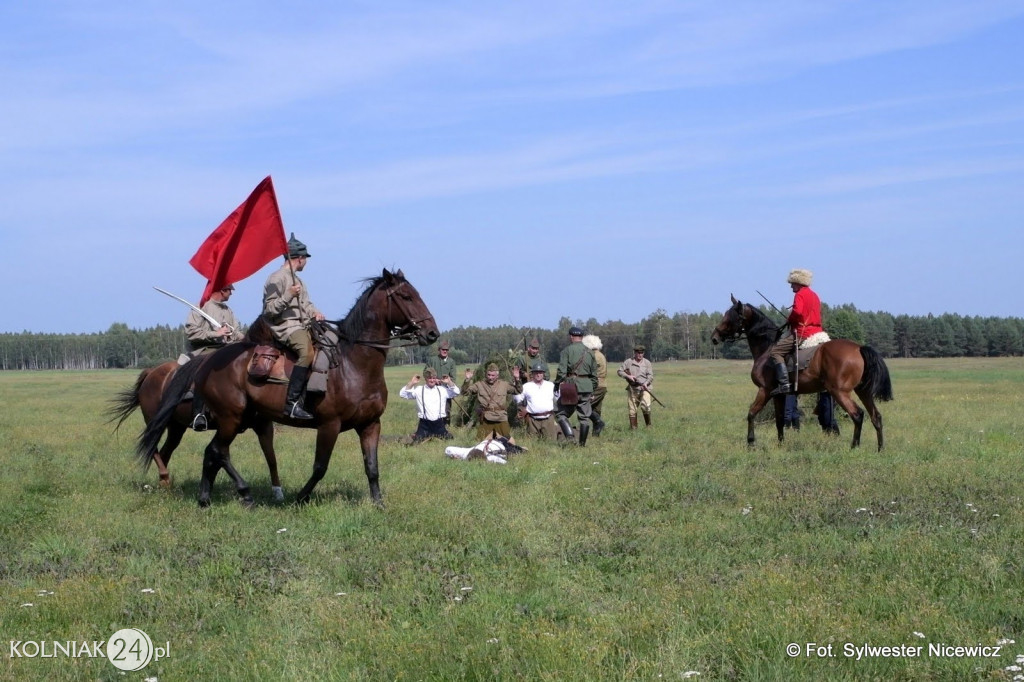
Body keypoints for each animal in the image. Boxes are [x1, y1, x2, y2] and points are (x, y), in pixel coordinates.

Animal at [109, 358, 284, 497]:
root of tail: (151, 372)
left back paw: (162, 485)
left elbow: (271, 458)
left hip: (176, 428)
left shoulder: (263, 427)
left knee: (164, 452)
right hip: (156, 422)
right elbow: (221, 456)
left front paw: (277, 492)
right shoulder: (228, 426)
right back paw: (165, 478)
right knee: (152, 448)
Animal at [135, 266, 436, 503]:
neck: (354, 364)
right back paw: (236, 493)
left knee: (210, 453)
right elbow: (320, 467)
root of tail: (209, 362)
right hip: (228, 419)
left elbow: (371, 467)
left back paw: (205, 497)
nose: (432, 332)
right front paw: (300, 497)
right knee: (215, 452)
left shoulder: (371, 425)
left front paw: (378, 504)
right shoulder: (329, 425)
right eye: (406, 296)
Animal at [712, 292, 888, 448]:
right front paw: (781, 444)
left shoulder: (764, 390)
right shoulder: (779, 395)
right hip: (863, 391)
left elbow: (751, 414)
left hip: (840, 392)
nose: (714, 337)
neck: (767, 347)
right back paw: (880, 448)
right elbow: (779, 420)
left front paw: (751, 443)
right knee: (876, 417)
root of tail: (858, 348)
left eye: (730, 317)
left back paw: (854, 446)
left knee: (857, 415)